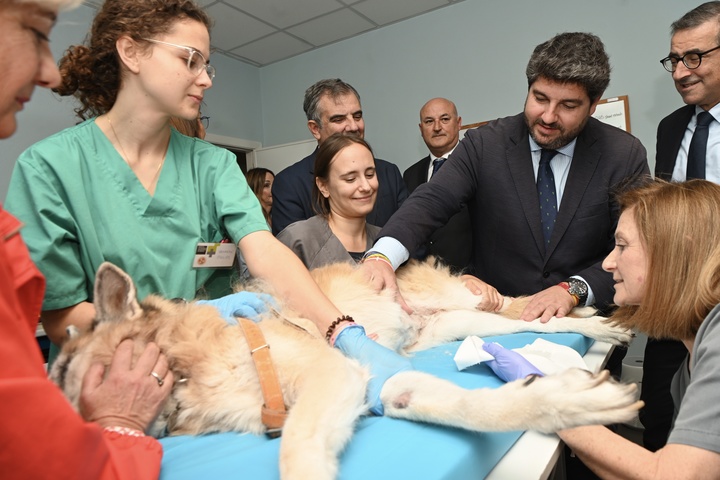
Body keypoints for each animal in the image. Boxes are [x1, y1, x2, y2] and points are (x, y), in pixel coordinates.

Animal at [50, 258, 640, 480]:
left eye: (61, 372)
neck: (184, 371)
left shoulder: (330, 378)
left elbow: (297, 451)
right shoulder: (381, 385)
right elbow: (462, 403)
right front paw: (566, 398)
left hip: (460, 303)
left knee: (522, 308)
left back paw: (601, 326)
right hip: (457, 327)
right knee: (519, 323)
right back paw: (597, 329)